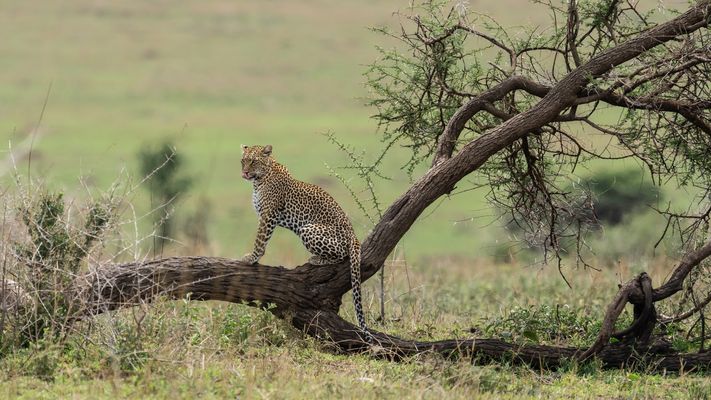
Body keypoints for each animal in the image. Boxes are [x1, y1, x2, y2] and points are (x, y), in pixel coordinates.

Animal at [239, 144, 372, 342]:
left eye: (254, 161)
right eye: (243, 161)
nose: (245, 172)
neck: (260, 179)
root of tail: (353, 236)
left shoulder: (268, 215)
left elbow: (260, 240)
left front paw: (252, 258)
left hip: (308, 229)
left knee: (342, 255)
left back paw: (316, 259)